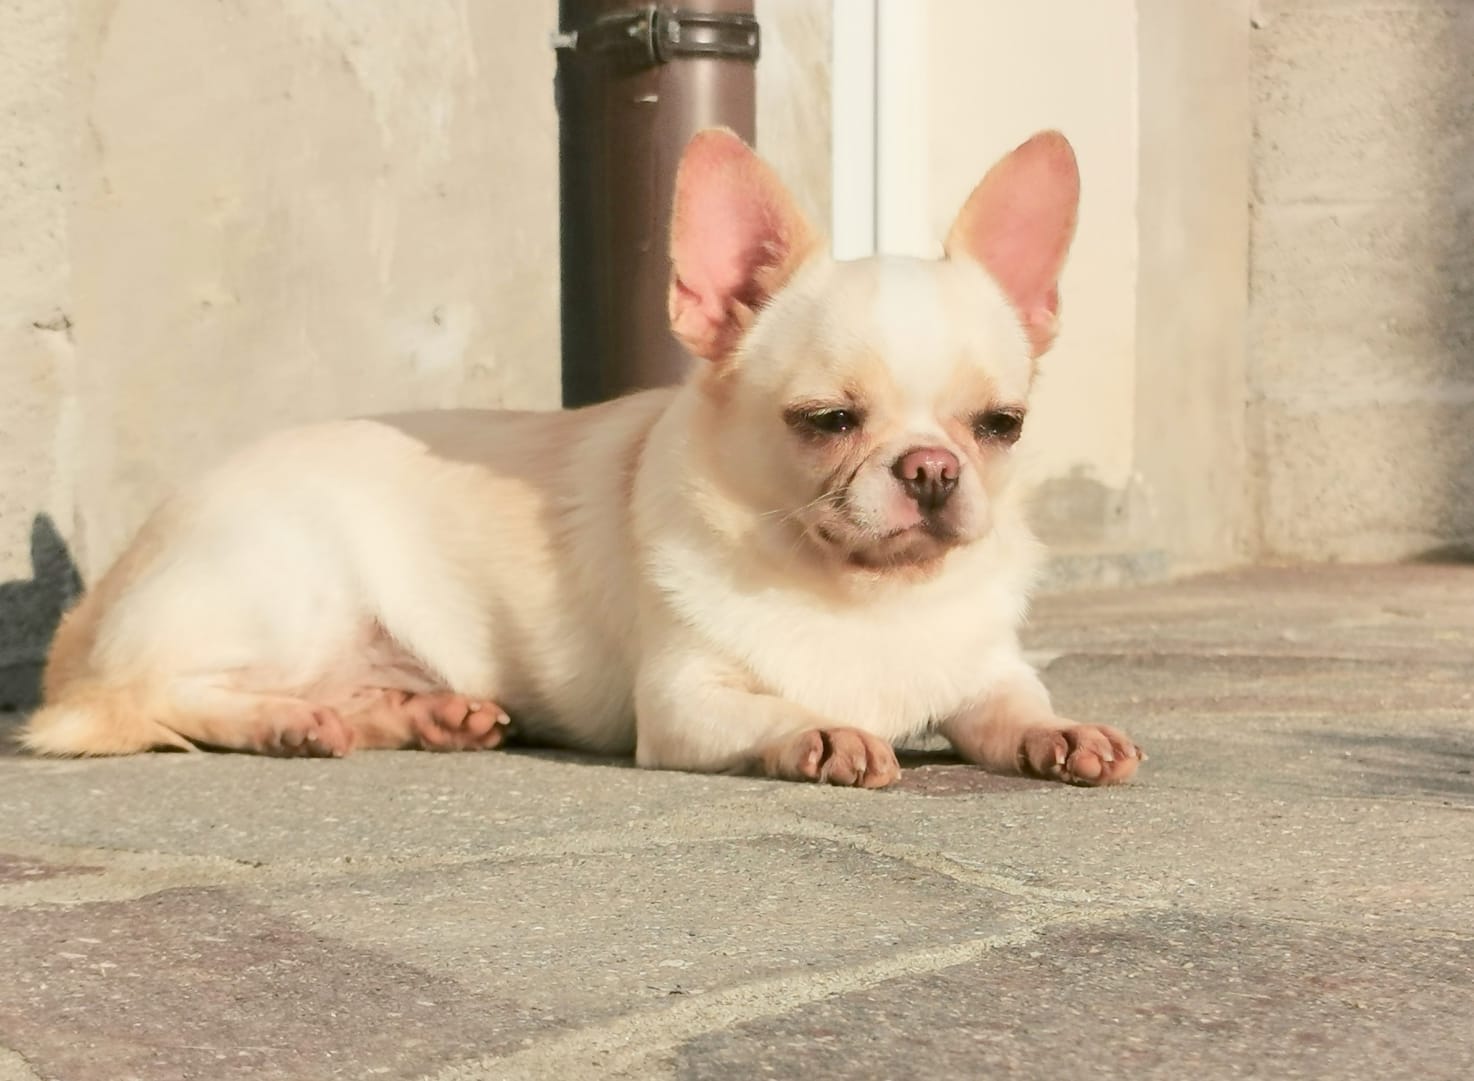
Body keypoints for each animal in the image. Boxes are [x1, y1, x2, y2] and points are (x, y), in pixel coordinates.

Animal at [28, 126, 1143, 790]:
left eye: (1000, 425)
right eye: (826, 419)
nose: (930, 469)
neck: (863, 596)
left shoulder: (983, 671)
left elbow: (1012, 705)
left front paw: (1065, 731)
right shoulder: (684, 704)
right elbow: (774, 705)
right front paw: (819, 730)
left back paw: (424, 713)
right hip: (281, 585)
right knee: (153, 696)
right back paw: (287, 723)